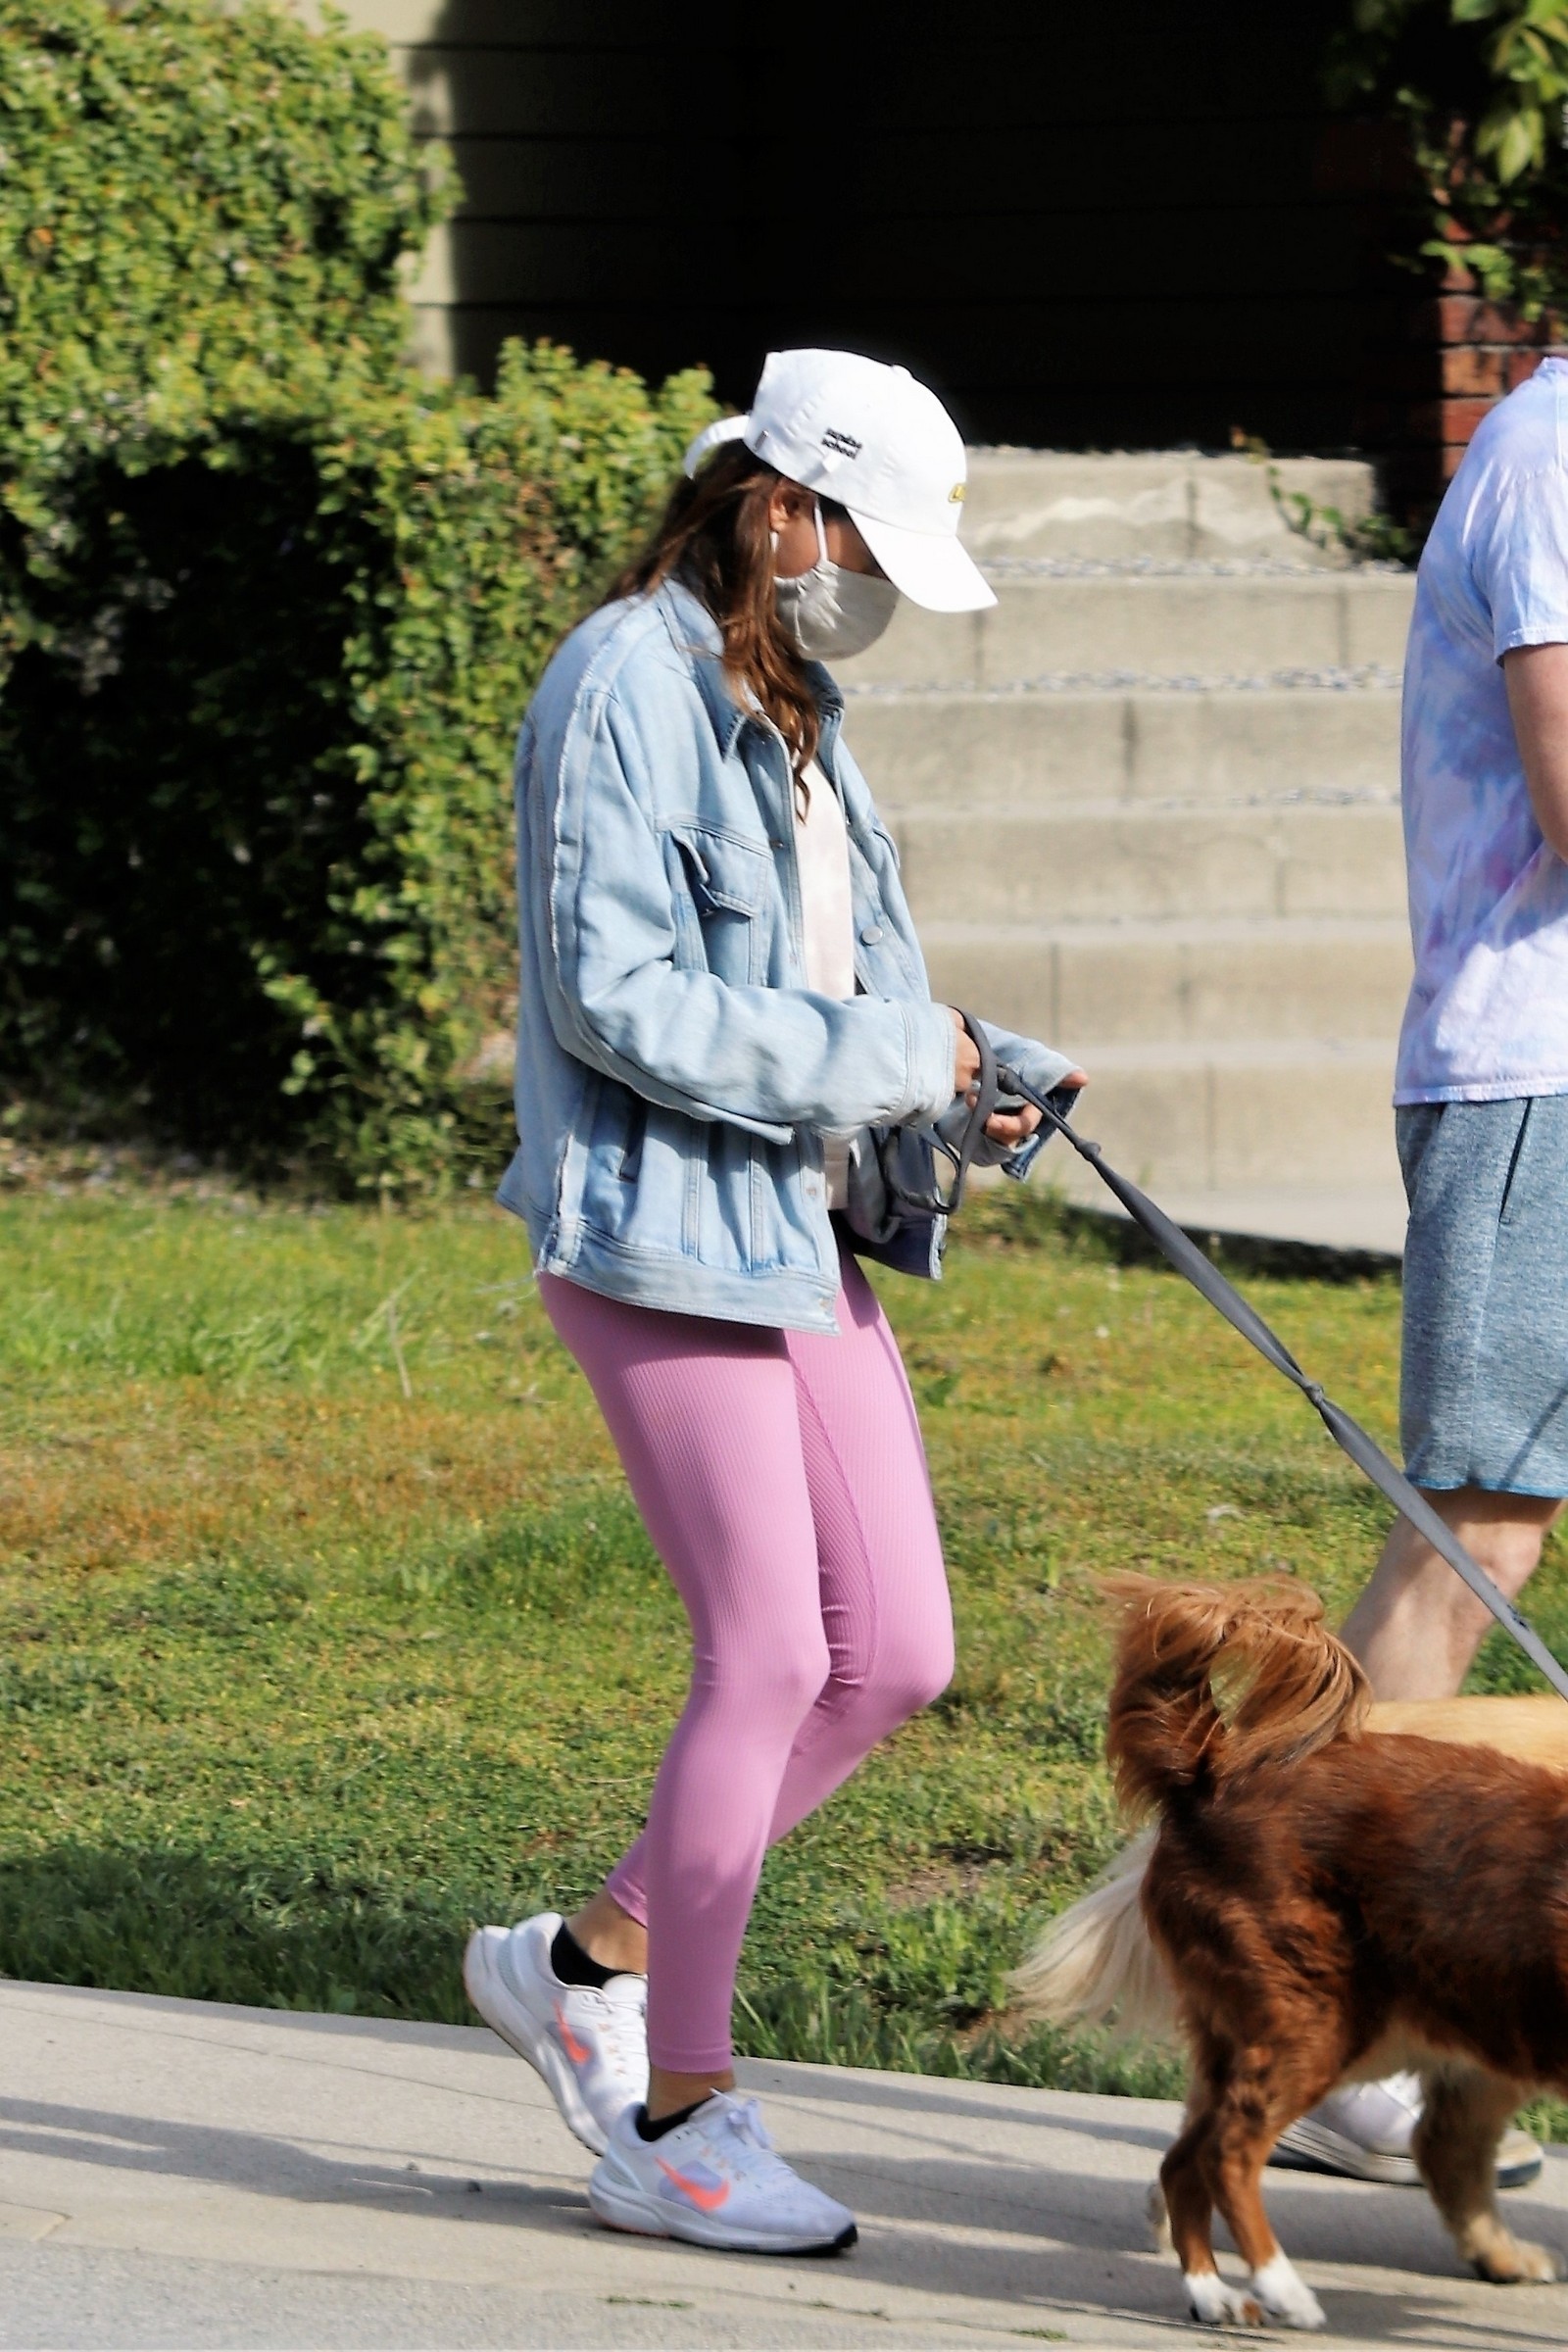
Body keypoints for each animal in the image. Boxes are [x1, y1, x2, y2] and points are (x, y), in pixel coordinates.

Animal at [1014, 1575, 1568, 2330]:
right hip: (1324, 2020)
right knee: (1230, 2150)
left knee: (1194, 2156)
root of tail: (1211, 1774)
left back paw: (1213, 2290)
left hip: (1417, 2020)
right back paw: (1282, 2287)